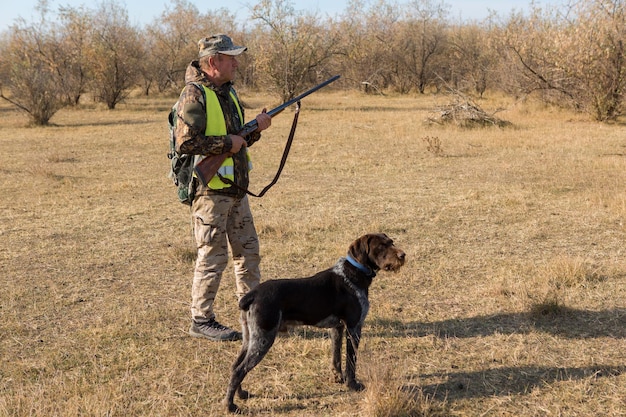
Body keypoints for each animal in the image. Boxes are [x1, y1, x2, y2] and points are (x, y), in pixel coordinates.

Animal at [223, 232, 404, 412]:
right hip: (263, 339)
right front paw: (352, 385)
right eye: (380, 246)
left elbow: (336, 357)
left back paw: (241, 394)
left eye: (391, 242)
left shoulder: (337, 328)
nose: (403, 255)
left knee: (235, 366)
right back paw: (230, 406)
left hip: (250, 337)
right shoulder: (354, 327)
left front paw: (338, 378)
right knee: (239, 370)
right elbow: (351, 361)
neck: (353, 273)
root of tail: (251, 295)